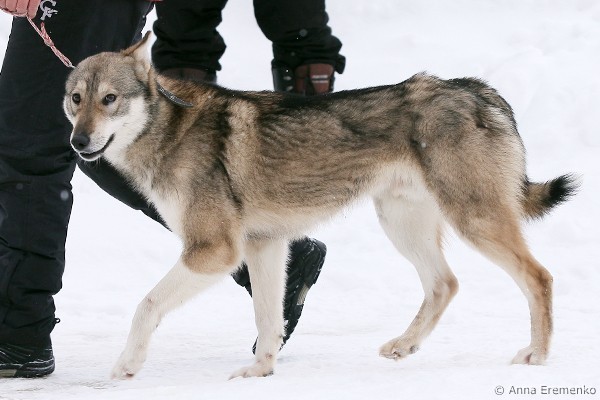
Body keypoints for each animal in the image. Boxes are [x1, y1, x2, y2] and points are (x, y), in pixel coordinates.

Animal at [64, 32, 576, 379]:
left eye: (110, 99)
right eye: (75, 99)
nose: (78, 142)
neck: (168, 129)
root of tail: (473, 89)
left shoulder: (215, 251)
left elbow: (146, 305)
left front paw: (125, 366)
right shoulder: (263, 246)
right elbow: (268, 318)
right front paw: (260, 372)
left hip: (472, 220)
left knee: (540, 277)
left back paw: (537, 354)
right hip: (402, 224)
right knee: (444, 284)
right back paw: (404, 345)